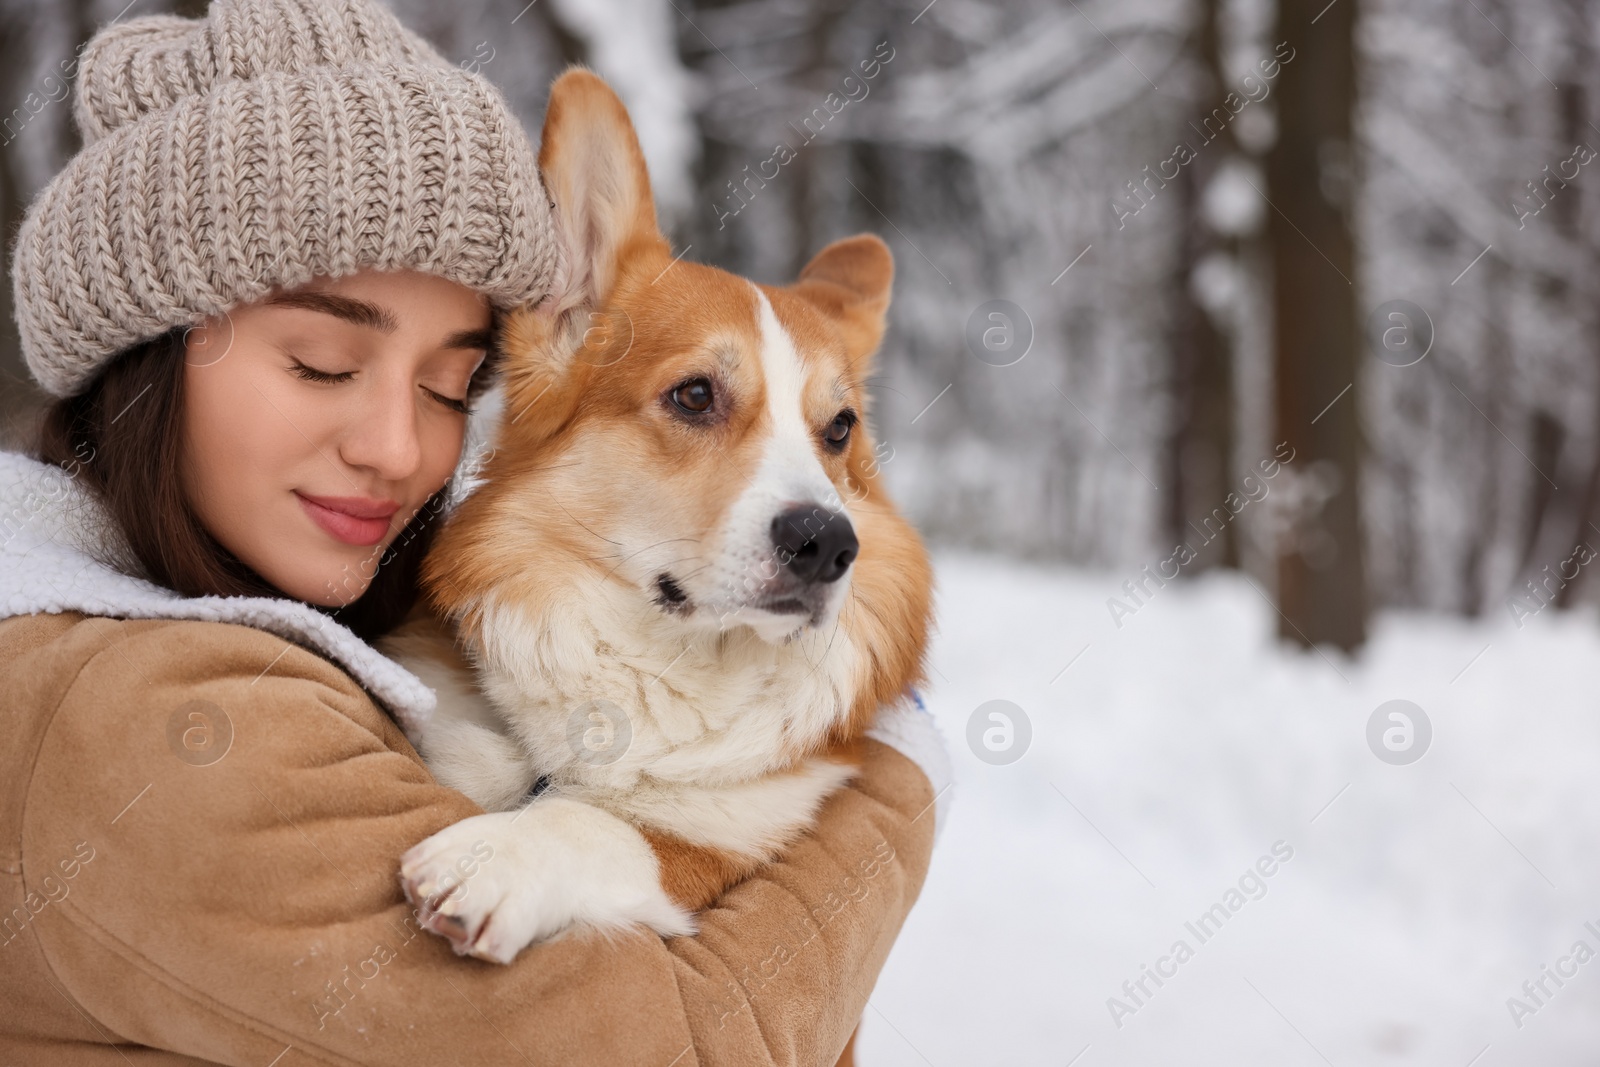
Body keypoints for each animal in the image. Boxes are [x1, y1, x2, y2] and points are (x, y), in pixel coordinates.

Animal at [380, 68, 934, 966]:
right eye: (696, 395)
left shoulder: (724, 835)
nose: (828, 544)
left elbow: (599, 822)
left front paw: (497, 854)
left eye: (839, 428)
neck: (667, 657)